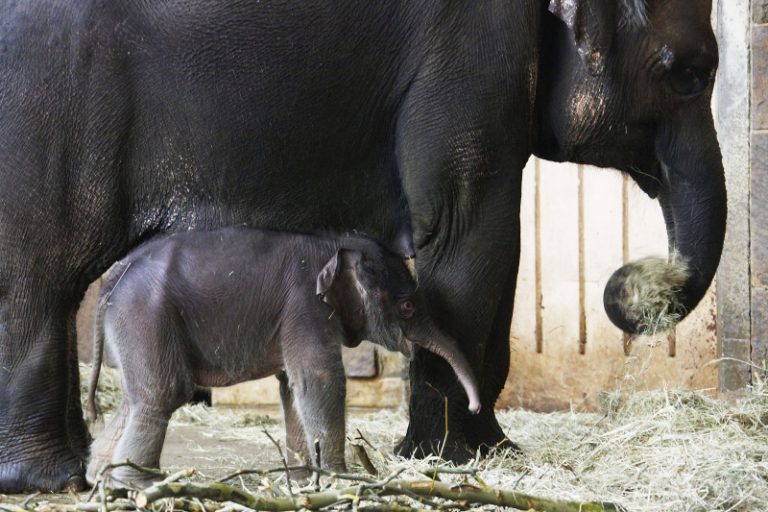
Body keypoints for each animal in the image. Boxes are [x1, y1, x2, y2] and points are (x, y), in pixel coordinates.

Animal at [84, 227, 481, 487]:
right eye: (408, 306)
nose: (476, 407)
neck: (332, 245)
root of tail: (114, 276)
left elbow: (294, 386)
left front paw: (306, 478)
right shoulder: (305, 307)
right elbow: (319, 380)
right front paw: (339, 479)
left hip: (135, 324)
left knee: (135, 397)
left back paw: (102, 477)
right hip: (146, 316)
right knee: (164, 391)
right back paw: (139, 485)